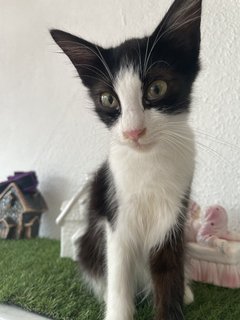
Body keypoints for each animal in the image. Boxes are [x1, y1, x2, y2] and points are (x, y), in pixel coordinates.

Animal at [51, 0, 202, 318]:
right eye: (108, 99)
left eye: (157, 88)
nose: (134, 131)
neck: (149, 161)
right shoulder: (116, 211)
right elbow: (119, 269)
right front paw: (118, 310)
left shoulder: (174, 214)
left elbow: (169, 266)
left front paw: (173, 300)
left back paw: (185, 290)